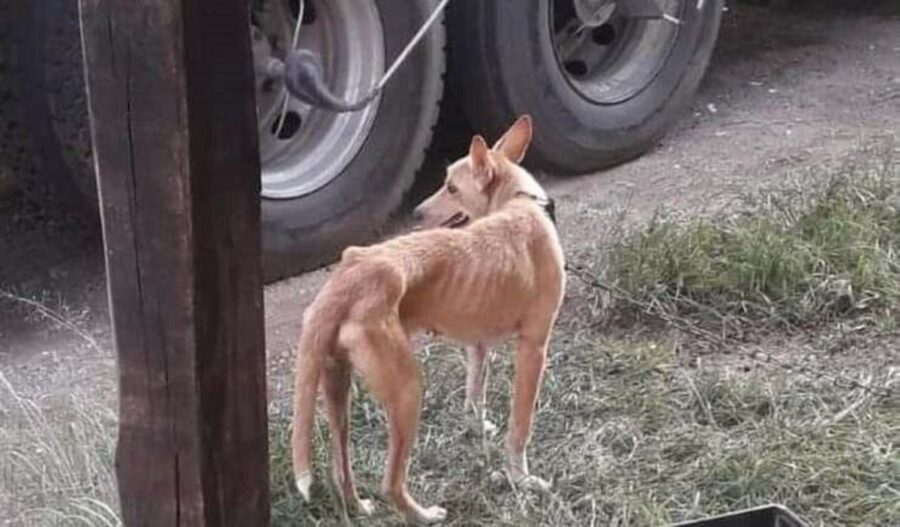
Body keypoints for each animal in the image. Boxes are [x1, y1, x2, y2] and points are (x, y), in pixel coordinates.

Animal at [294, 116, 564, 524]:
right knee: (391, 484)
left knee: (341, 472)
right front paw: (522, 479)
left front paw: (478, 429)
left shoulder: (477, 346)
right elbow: (520, 429)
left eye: (451, 187)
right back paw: (423, 515)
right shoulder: (534, 348)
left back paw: (358, 506)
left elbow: (474, 395)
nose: (416, 213)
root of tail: (346, 280)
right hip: (408, 390)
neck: (520, 203)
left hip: (337, 389)